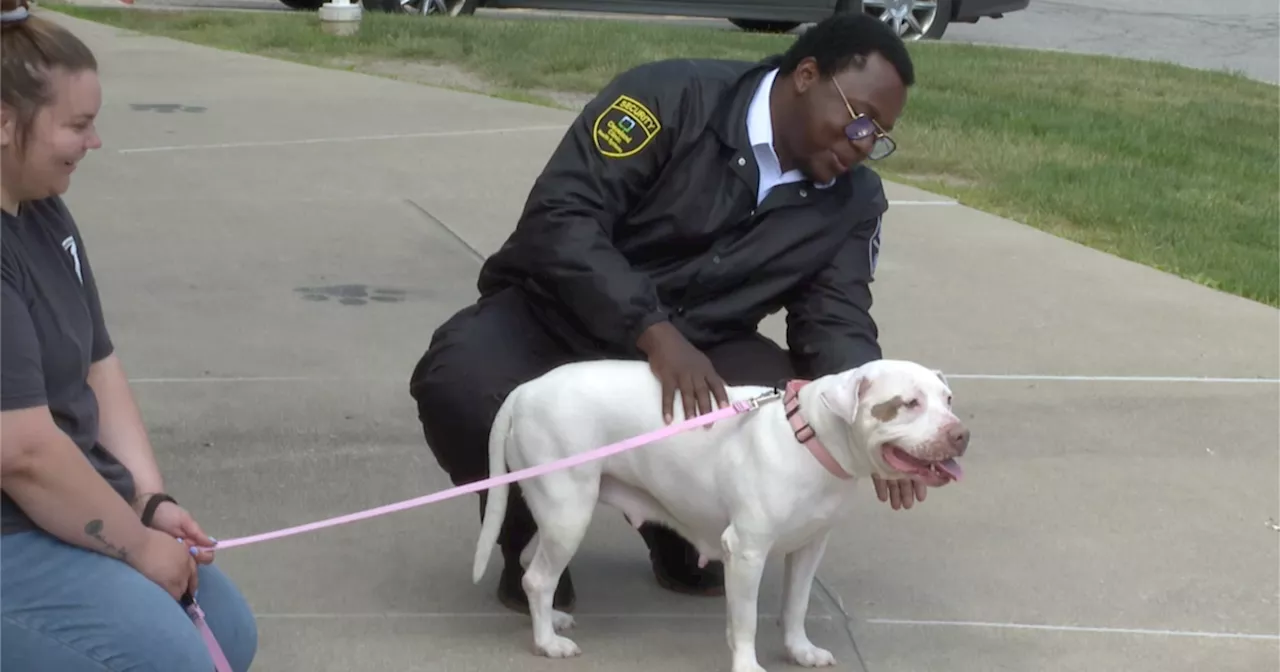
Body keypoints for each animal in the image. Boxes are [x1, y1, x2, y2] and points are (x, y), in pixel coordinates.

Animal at [476, 358, 962, 665]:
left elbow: (798, 604)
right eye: (908, 403)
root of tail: (525, 390)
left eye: (948, 400)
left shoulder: (809, 547)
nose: (961, 435)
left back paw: (551, 619)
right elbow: (744, 622)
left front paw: (799, 650)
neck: (810, 437)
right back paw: (546, 642)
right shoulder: (746, 552)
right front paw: (748, 666)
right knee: (538, 578)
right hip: (567, 510)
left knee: (539, 574)